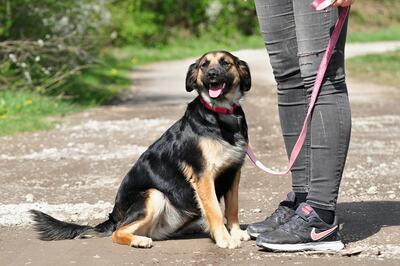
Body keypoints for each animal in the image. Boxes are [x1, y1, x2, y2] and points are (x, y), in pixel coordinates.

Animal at [30, 50, 250, 249]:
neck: (220, 113)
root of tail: (113, 217)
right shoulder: (202, 175)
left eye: (225, 63)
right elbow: (215, 210)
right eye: (204, 65)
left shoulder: (234, 172)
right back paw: (138, 240)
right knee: (118, 232)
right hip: (153, 195)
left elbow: (232, 208)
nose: (212, 74)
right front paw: (224, 239)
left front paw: (236, 233)